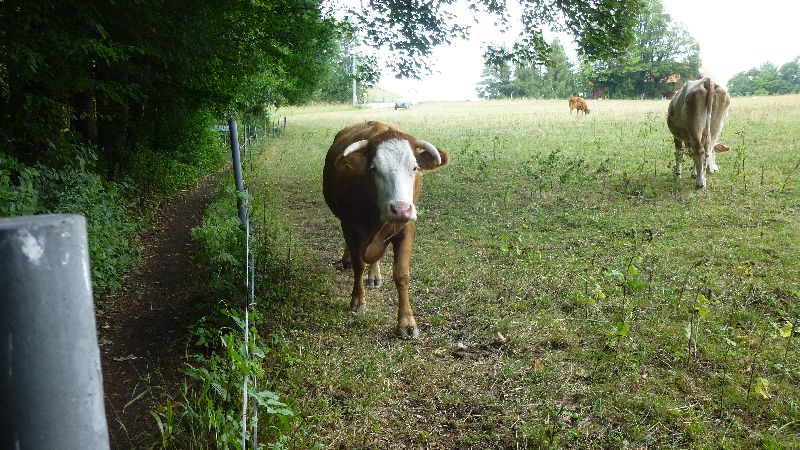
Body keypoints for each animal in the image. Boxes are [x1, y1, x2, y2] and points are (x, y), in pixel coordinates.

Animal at [324, 119, 450, 338]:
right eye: (373, 168)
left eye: (415, 167)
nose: (400, 209)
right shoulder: (349, 224)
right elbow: (359, 264)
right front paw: (358, 300)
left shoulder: (406, 228)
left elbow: (401, 274)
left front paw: (407, 322)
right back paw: (347, 260)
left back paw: (374, 276)